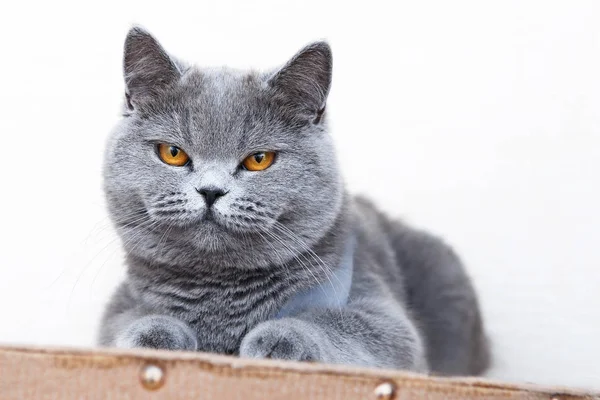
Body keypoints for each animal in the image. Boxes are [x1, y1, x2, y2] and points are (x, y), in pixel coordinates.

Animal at [98, 27, 490, 376]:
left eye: (259, 159)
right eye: (173, 153)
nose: (211, 190)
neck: (220, 298)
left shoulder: (385, 317)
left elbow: (333, 321)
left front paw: (279, 338)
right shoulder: (119, 307)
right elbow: (129, 320)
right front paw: (153, 334)